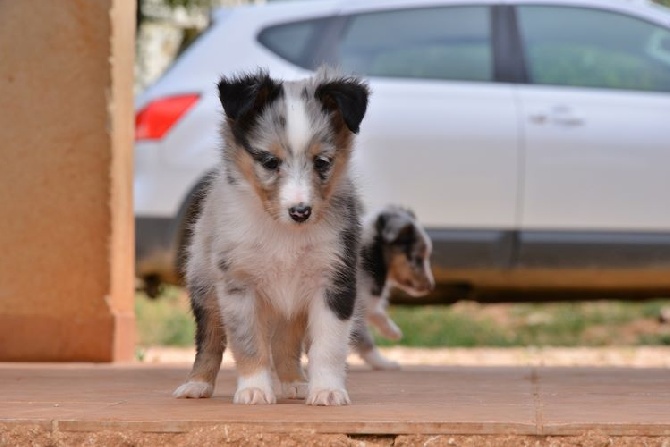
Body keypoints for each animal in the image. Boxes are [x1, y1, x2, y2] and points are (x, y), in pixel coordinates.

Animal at [173, 69, 370, 406]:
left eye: (322, 162)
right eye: (269, 162)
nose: (300, 211)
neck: (285, 233)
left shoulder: (334, 281)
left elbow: (328, 346)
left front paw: (327, 390)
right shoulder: (238, 286)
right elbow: (248, 345)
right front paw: (253, 389)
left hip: (291, 309)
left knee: (284, 345)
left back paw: (295, 383)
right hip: (204, 286)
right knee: (209, 341)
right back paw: (196, 384)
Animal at [354, 206, 438, 372]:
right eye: (418, 258)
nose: (431, 286)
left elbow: (377, 313)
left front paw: (393, 332)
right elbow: (366, 341)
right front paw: (383, 363)